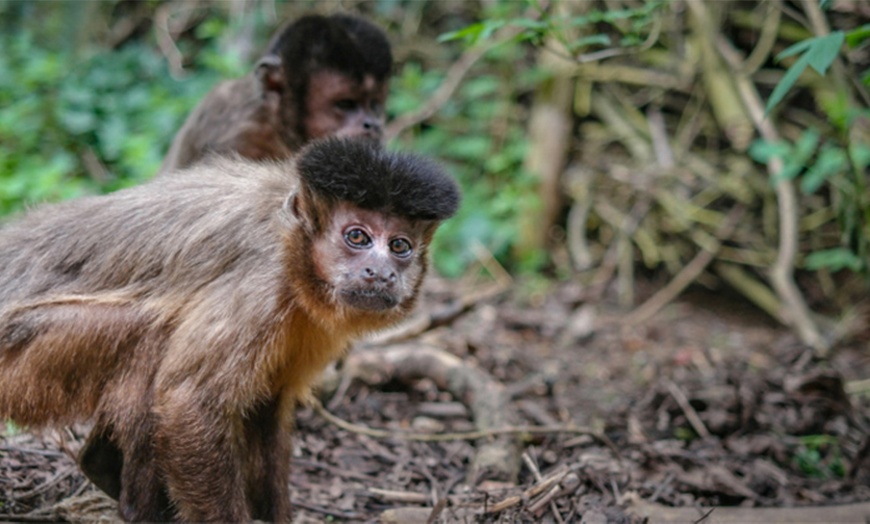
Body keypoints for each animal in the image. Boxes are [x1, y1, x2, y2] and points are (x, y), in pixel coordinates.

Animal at [0, 138, 464, 520]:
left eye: (399, 246)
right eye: (358, 237)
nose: (381, 272)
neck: (292, 246)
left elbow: (268, 407)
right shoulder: (262, 282)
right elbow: (189, 401)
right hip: (25, 350)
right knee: (152, 335)